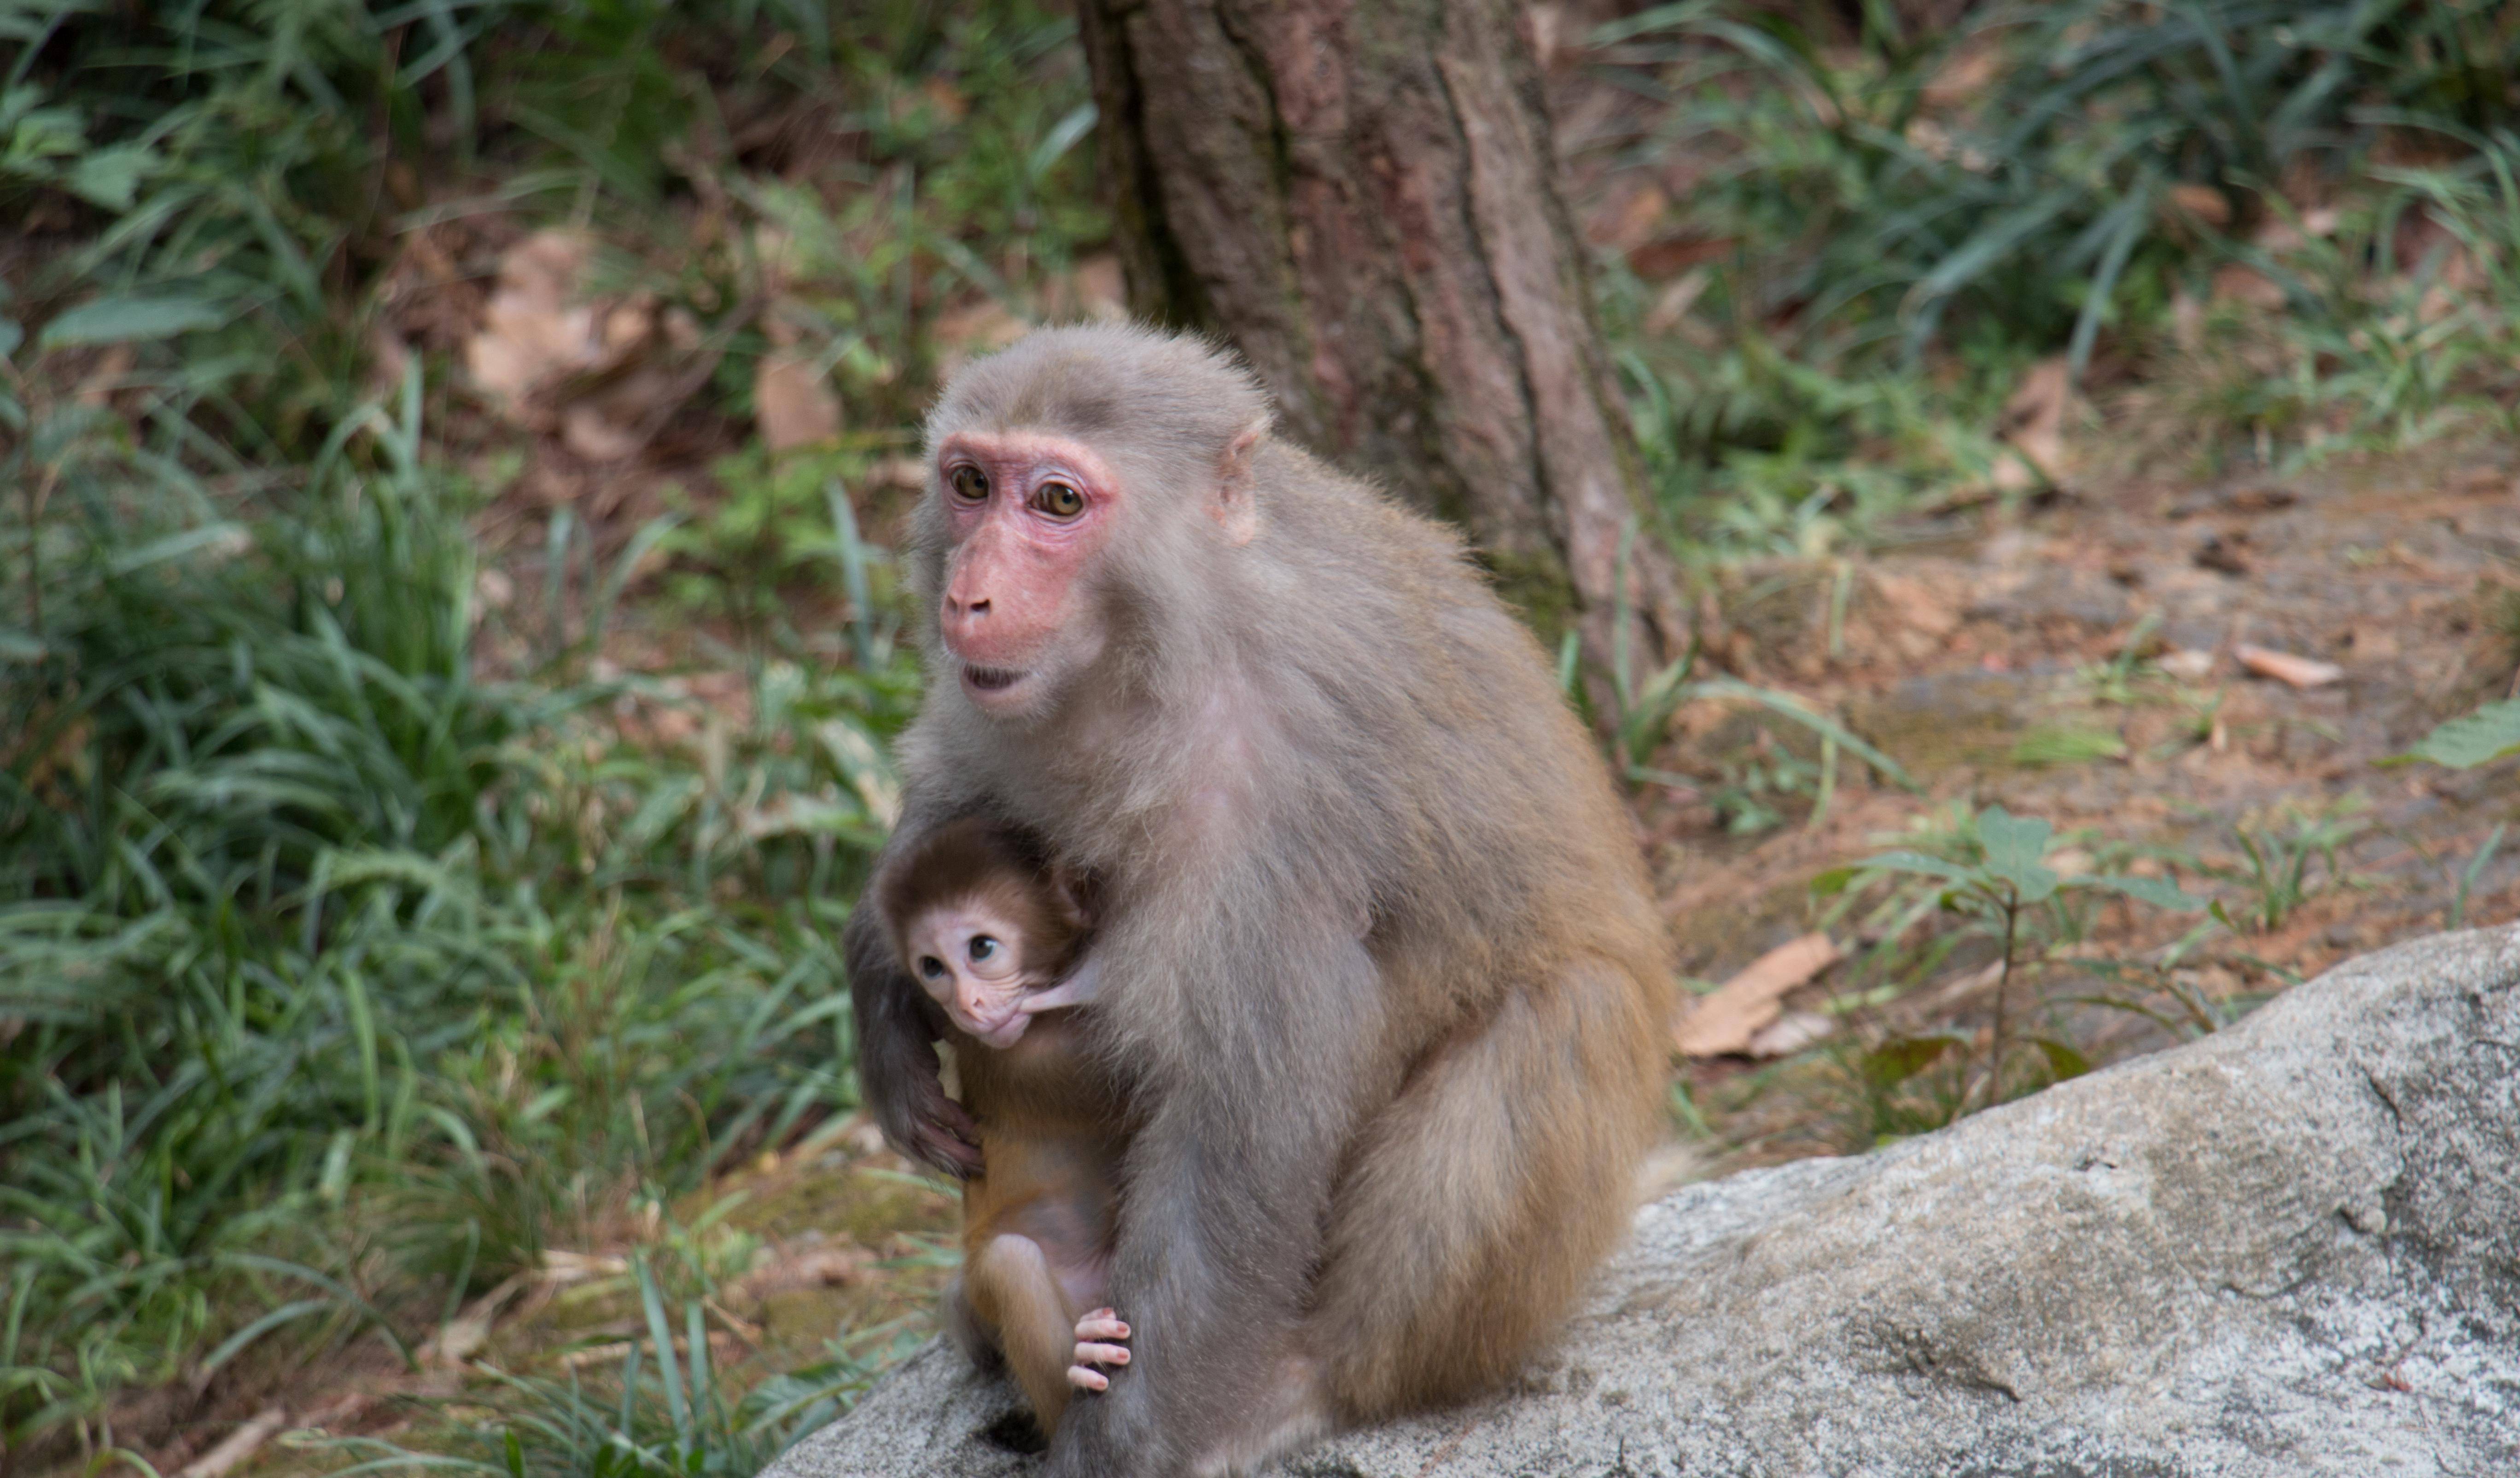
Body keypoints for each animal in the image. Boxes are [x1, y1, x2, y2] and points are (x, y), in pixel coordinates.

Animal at [877, 820, 1134, 1430]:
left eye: (981, 948)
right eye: (932, 967)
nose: (967, 1005)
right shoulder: (1043, 1056)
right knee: (1010, 1263)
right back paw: (1078, 1365)